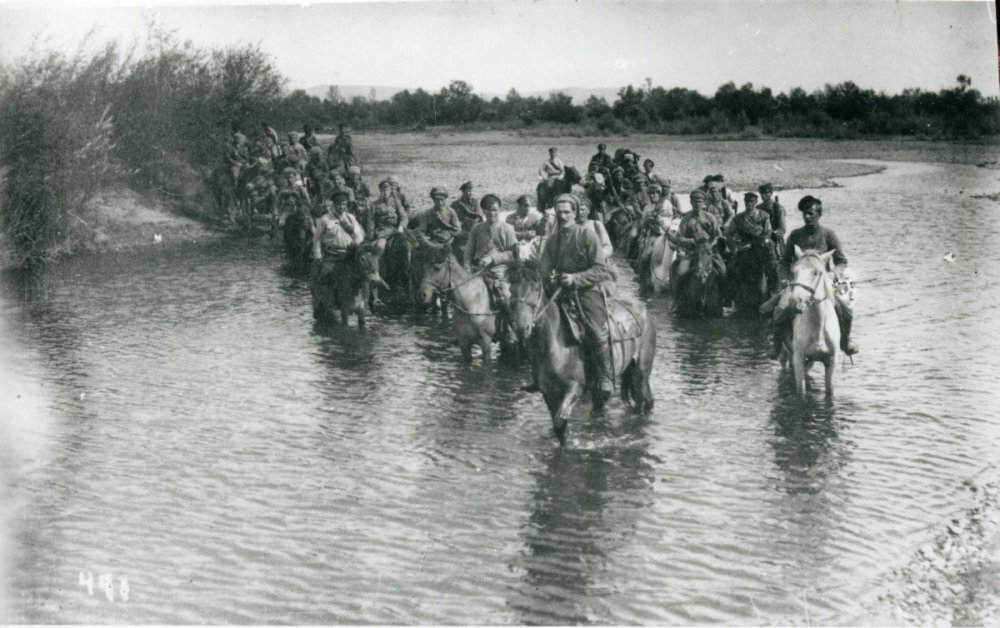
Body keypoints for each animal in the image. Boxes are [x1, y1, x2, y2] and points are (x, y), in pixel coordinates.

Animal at [508, 262, 656, 444]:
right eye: (511, 289)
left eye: (536, 288)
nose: (521, 327)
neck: (555, 344)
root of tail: (644, 310)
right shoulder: (549, 394)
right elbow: (559, 428)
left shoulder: (575, 389)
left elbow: (560, 421)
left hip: (640, 373)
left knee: (640, 403)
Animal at [776, 247, 840, 398]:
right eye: (793, 271)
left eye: (816, 272)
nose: (795, 301)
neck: (818, 328)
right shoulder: (799, 358)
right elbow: (801, 391)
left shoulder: (832, 360)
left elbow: (830, 391)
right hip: (785, 353)